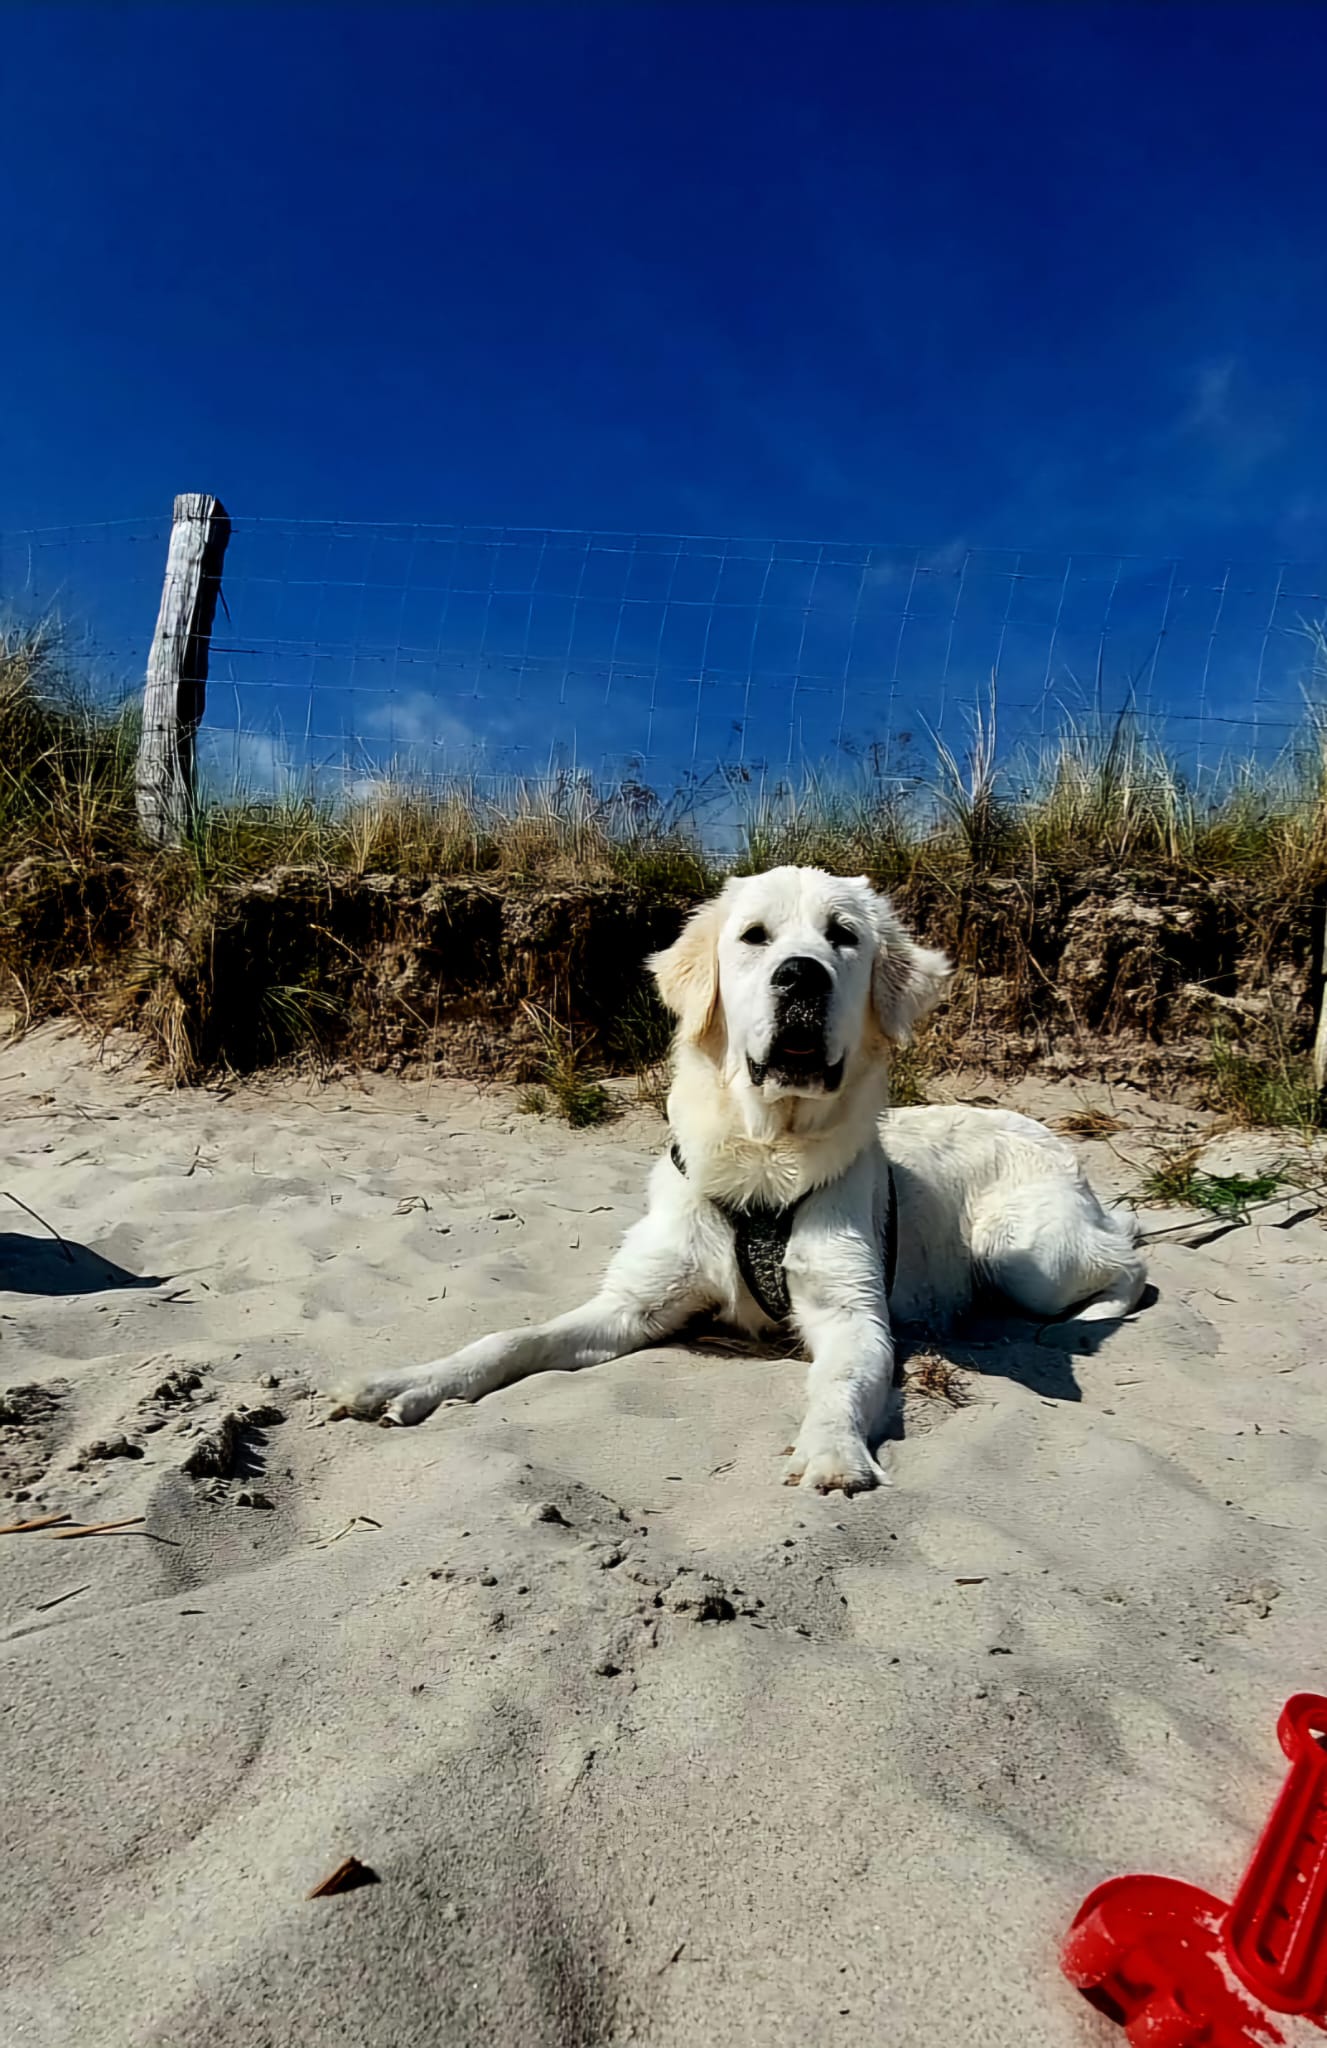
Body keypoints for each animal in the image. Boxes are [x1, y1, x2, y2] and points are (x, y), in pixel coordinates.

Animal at [337, 864, 1146, 1490]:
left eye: (843, 935)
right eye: (755, 937)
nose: (801, 976)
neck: (765, 1156)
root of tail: (1045, 1131)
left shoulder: (850, 1312)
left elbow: (839, 1384)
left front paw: (832, 1452)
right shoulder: (633, 1304)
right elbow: (509, 1339)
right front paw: (408, 1382)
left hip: (1020, 1256)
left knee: (1128, 1260)